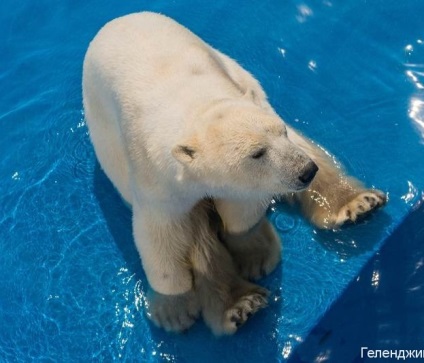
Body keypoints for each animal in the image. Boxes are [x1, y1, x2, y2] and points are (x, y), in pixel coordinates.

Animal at [82, 11, 384, 336]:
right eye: (257, 153)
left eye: (280, 133)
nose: (306, 172)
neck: (194, 109)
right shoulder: (154, 177)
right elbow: (162, 236)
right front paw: (174, 310)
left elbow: (240, 210)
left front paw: (255, 254)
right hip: (106, 138)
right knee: (197, 235)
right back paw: (240, 306)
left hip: (238, 72)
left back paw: (355, 204)